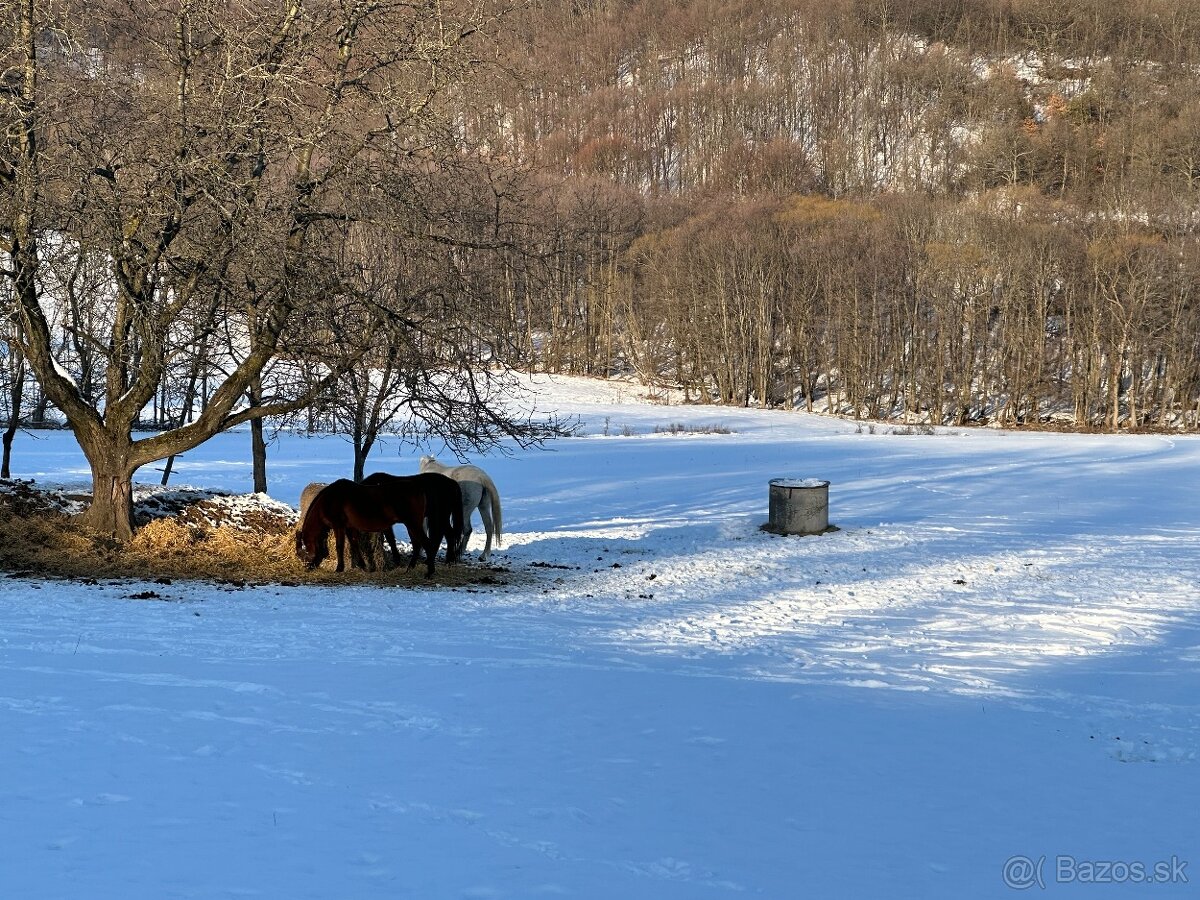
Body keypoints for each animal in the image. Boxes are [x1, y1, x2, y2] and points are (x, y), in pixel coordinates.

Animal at [297, 480, 448, 578]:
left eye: (303, 555)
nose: (308, 568)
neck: (328, 500)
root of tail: (418, 489)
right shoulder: (349, 527)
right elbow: (355, 544)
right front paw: (363, 566)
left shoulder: (338, 525)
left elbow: (339, 546)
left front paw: (339, 568)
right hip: (412, 525)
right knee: (417, 545)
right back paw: (409, 569)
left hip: (412, 524)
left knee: (426, 544)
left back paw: (429, 572)